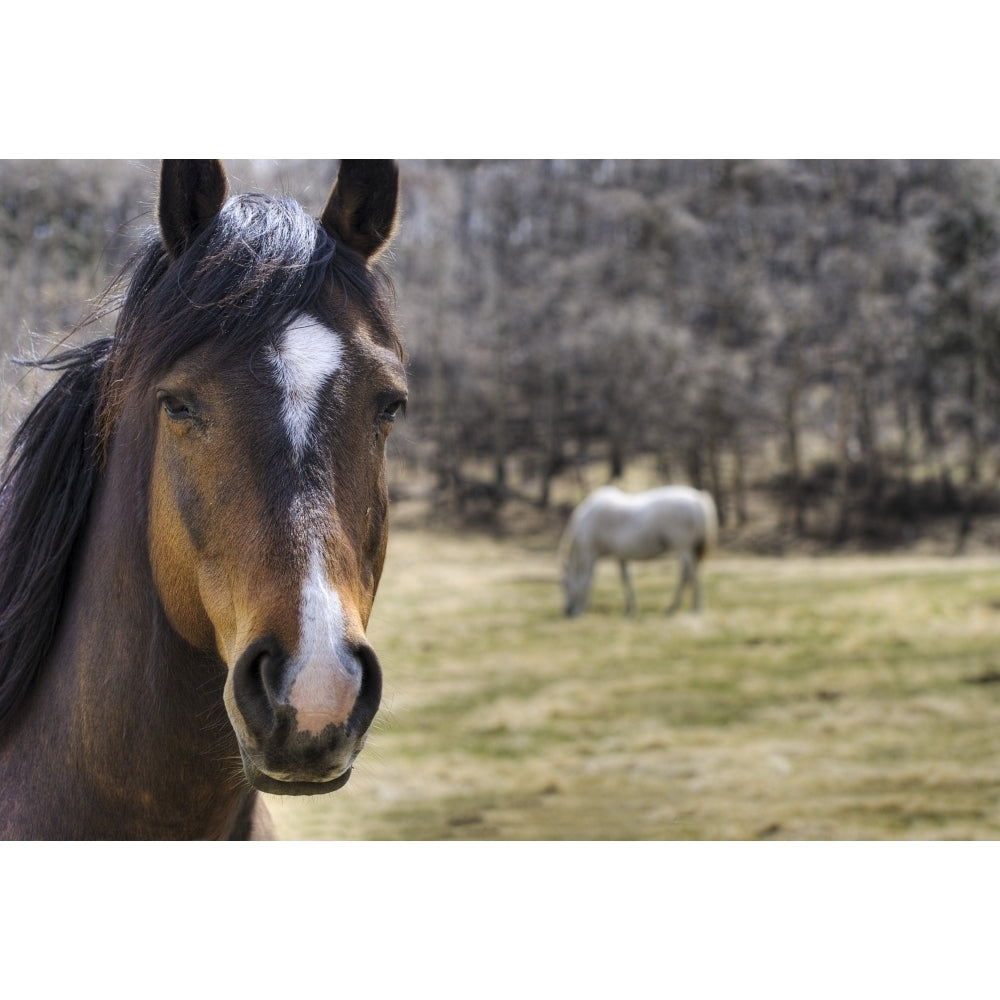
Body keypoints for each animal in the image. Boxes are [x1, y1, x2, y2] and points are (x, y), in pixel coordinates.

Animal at [564, 486, 720, 616]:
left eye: (564, 584)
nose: (568, 611)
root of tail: (698, 497)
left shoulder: (590, 554)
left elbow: (586, 580)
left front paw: (580, 610)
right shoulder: (621, 556)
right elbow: (625, 579)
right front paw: (630, 609)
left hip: (683, 547)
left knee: (690, 574)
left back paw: (694, 607)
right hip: (687, 549)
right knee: (688, 574)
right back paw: (674, 607)